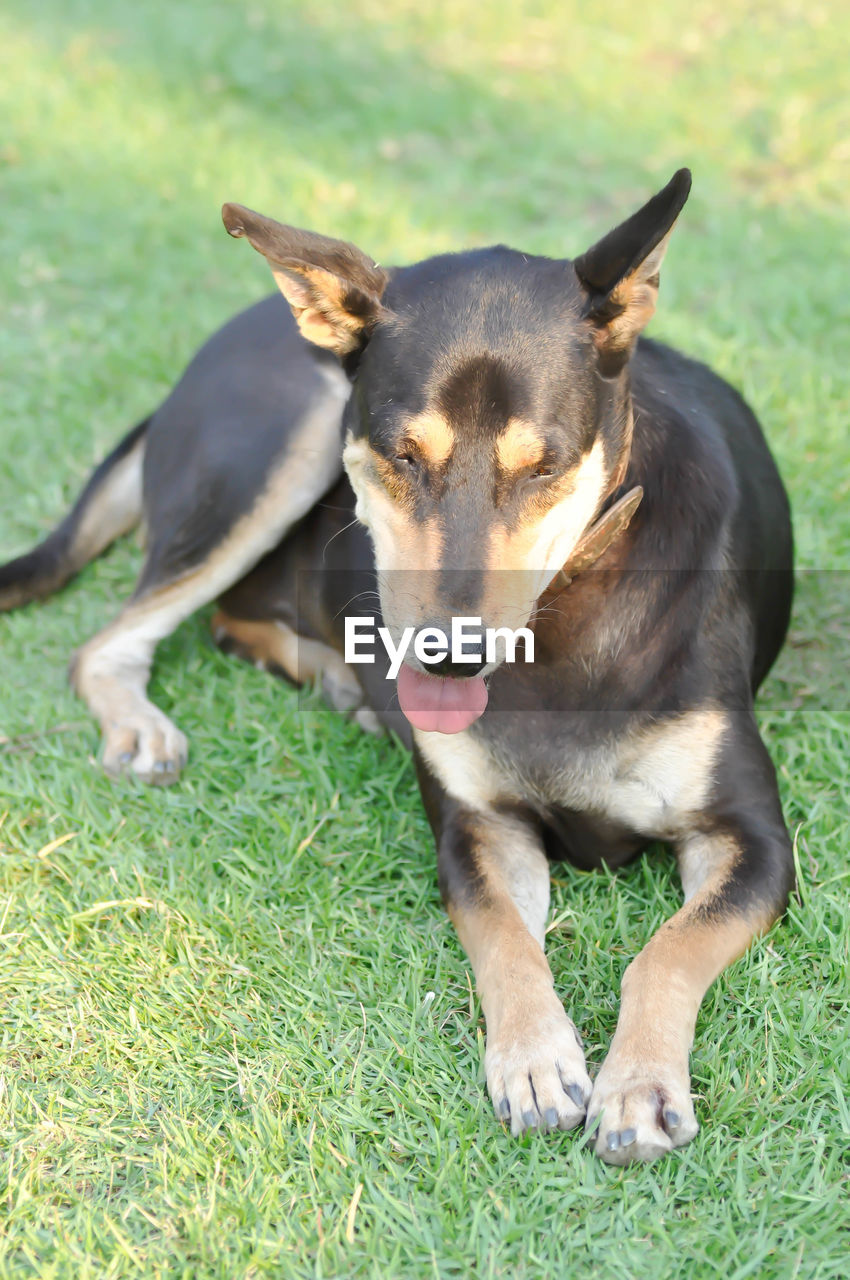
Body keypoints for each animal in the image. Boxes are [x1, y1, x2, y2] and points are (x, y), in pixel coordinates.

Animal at [1, 170, 798, 1162]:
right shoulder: (476, 828)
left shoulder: (754, 840)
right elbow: (504, 937)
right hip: (285, 438)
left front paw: (640, 1083)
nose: (449, 661)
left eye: (544, 469)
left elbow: (670, 950)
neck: (566, 616)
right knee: (111, 643)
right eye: (402, 456)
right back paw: (155, 720)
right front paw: (534, 1061)